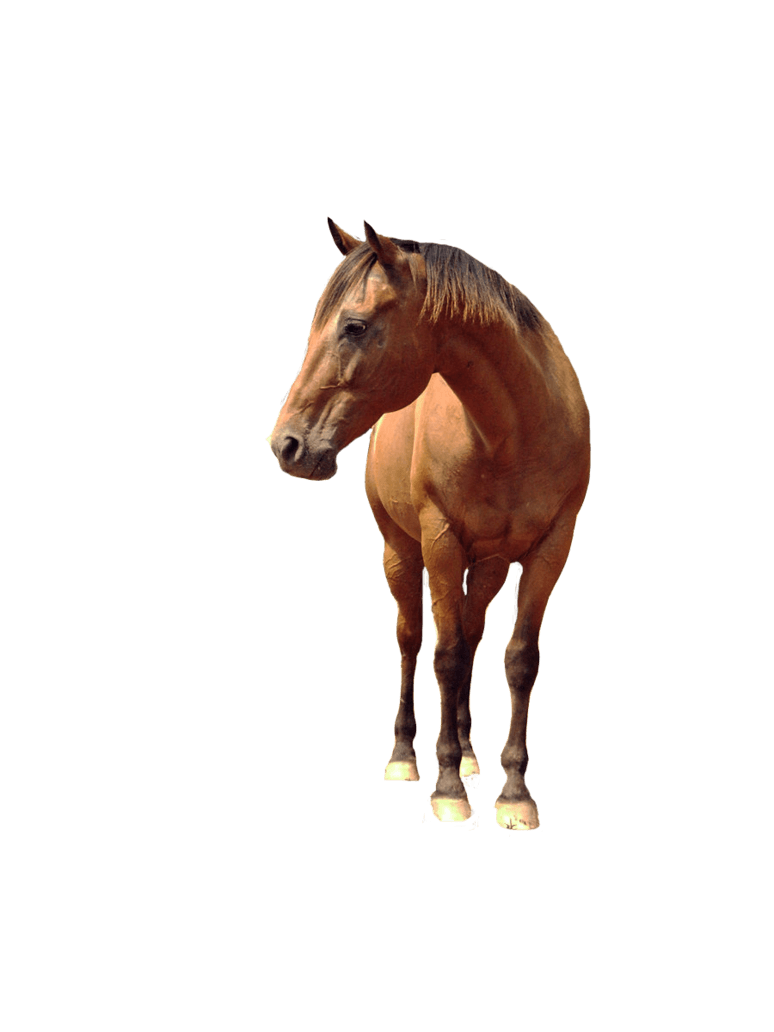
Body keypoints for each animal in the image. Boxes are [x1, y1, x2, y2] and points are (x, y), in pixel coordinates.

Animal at [267, 218, 591, 829]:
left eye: (354, 326)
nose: (286, 445)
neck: (514, 432)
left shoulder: (551, 548)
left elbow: (518, 660)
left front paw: (514, 792)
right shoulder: (440, 541)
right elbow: (445, 656)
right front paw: (446, 787)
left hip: (488, 564)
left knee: (473, 633)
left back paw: (469, 753)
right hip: (401, 551)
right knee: (413, 639)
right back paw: (408, 756)